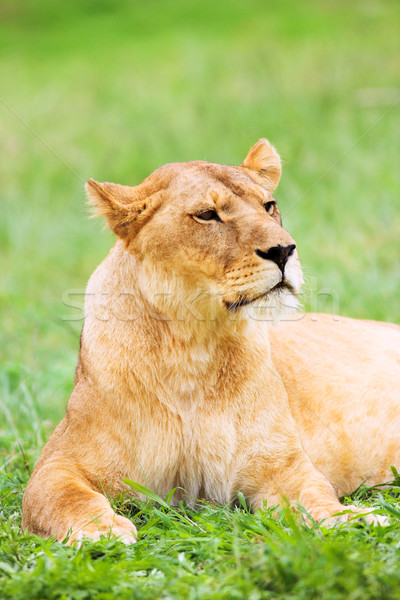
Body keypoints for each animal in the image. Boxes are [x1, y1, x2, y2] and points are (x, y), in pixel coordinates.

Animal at [22, 141, 400, 544]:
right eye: (207, 215)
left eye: (269, 205)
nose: (284, 251)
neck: (193, 345)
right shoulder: (60, 459)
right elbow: (61, 496)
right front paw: (103, 531)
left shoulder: (281, 466)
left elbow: (316, 497)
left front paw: (356, 521)